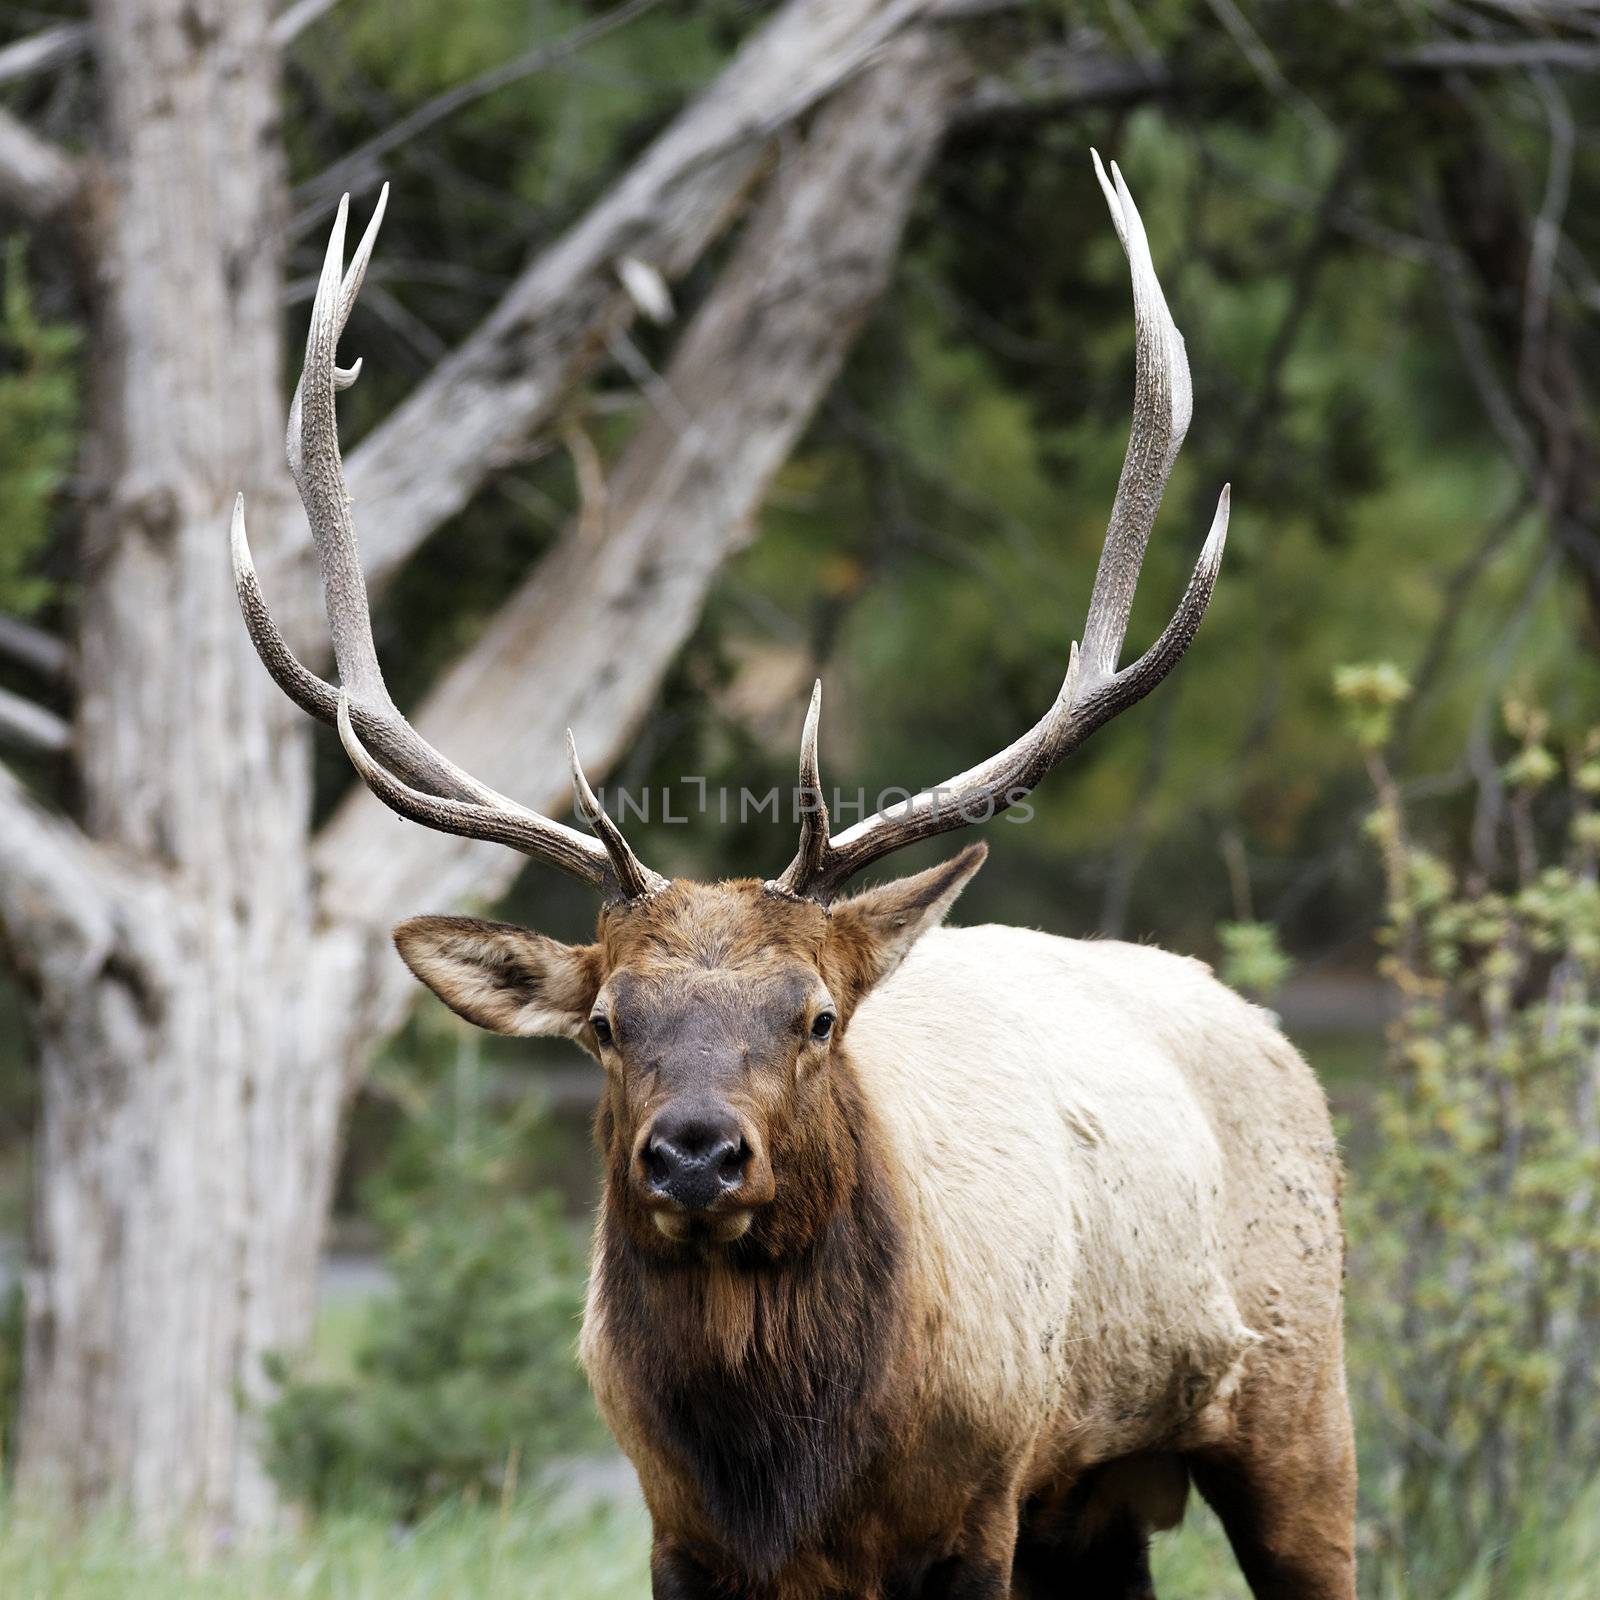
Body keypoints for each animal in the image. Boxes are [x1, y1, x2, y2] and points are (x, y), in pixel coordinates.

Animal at [236, 152, 1356, 1600]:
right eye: (608, 1024)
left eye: (816, 1017)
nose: (697, 1152)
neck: (791, 1474)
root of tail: (1265, 1027)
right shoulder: (677, 1532)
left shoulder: (980, 1504)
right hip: (1098, 1498)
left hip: (1295, 1404)